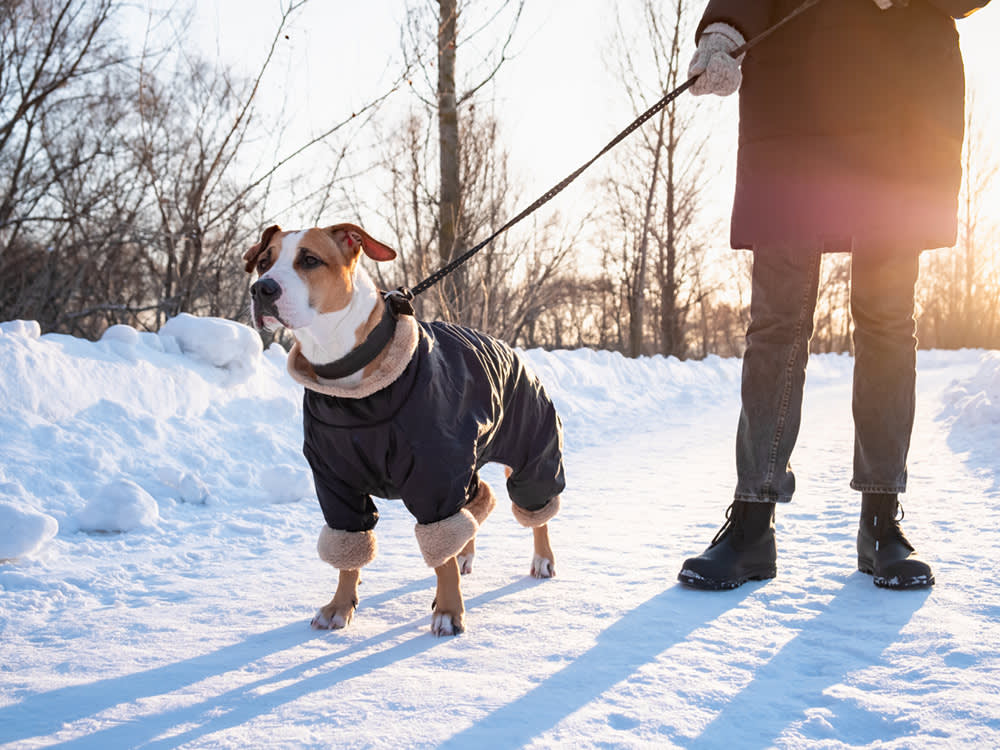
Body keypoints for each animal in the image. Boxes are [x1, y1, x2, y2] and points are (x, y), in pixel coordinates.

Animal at [244, 225, 564, 640]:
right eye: (263, 262)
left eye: (310, 260)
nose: (261, 289)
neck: (351, 386)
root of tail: (507, 346)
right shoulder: (335, 482)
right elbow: (349, 548)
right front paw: (339, 605)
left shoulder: (435, 476)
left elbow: (440, 553)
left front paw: (448, 611)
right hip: (469, 461)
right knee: (480, 499)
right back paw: (466, 552)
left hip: (531, 447)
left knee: (535, 506)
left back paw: (542, 559)